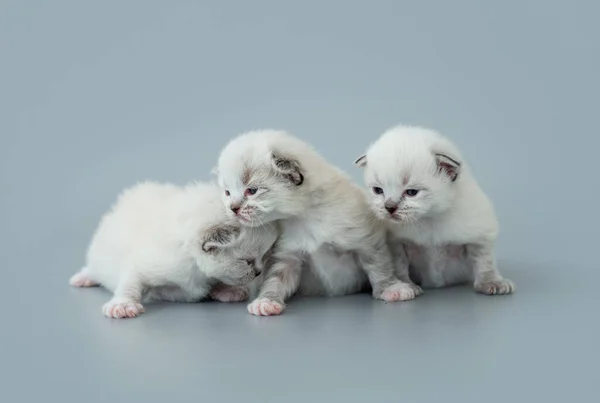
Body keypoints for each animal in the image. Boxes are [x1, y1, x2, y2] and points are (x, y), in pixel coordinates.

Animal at [68, 181, 278, 318]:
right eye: (247, 261)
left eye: (264, 256)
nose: (258, 272)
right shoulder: (144, 263)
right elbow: (130, 282)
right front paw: (123, 304)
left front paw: (229, 290)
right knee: (93, 268)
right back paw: (82, 278)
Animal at [216, 131, 422, 318]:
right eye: (227, 192)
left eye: (252, 190)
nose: (232, 208)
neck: (303, 216)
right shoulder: (288, 255)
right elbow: (275, 279)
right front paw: (266, 301)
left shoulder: (366, 239)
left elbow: (379, 265)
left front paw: (391, 288)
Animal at [356, 124, 516, 296]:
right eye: (378, 190)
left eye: (411, 192)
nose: (389, 207)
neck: (429, 218)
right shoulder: (396, 243)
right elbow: (399, 265)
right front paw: (406, 286)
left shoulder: (481, 233)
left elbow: (484, 261)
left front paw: (492, 282)